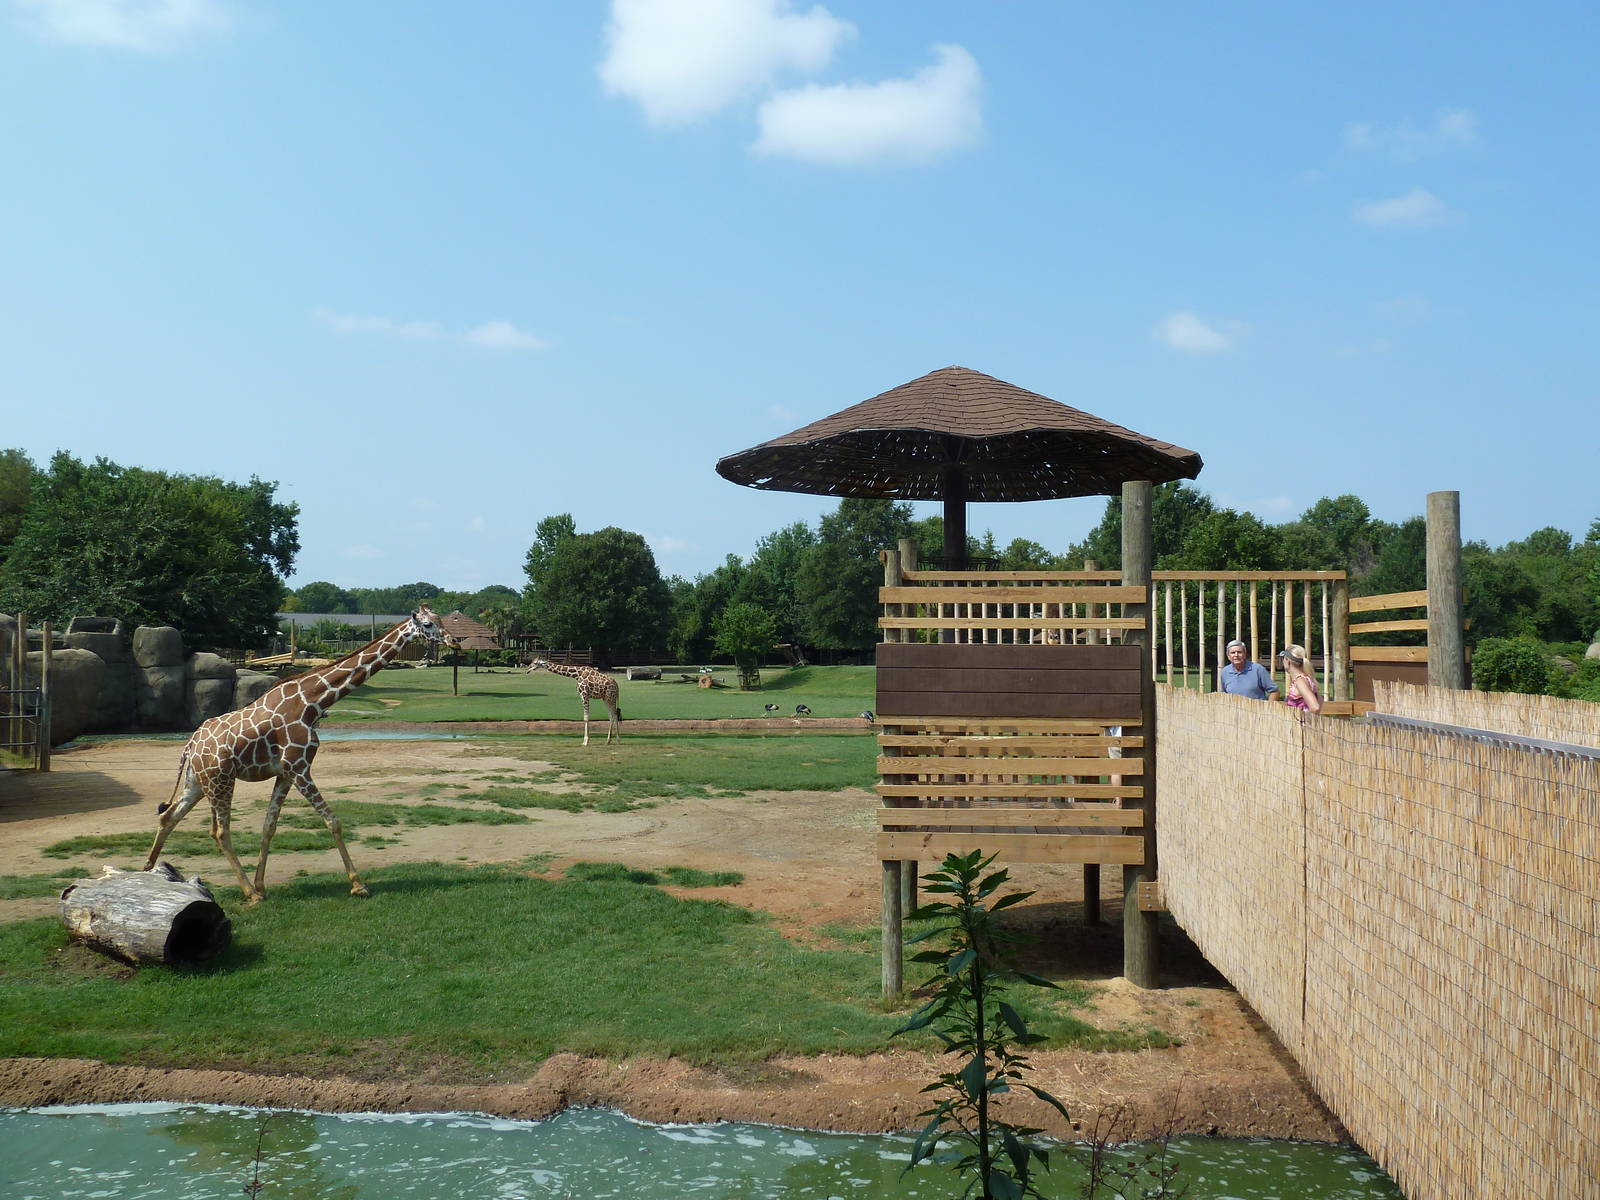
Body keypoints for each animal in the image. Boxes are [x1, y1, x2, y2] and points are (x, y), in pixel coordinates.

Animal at [144, 606, 451, 904]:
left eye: (440, 619)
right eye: (427, 624)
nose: (453, 641)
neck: (313, 702)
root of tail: (190, 745)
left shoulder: (285, 773)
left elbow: (269, 826)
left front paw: (263, 884)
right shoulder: (300, 767)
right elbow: (333, 821)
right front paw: (358, 885)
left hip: (198, 781)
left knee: (168, 817)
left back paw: (148, 872)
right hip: (220, 780)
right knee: (219, 831)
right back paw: (250, 894)